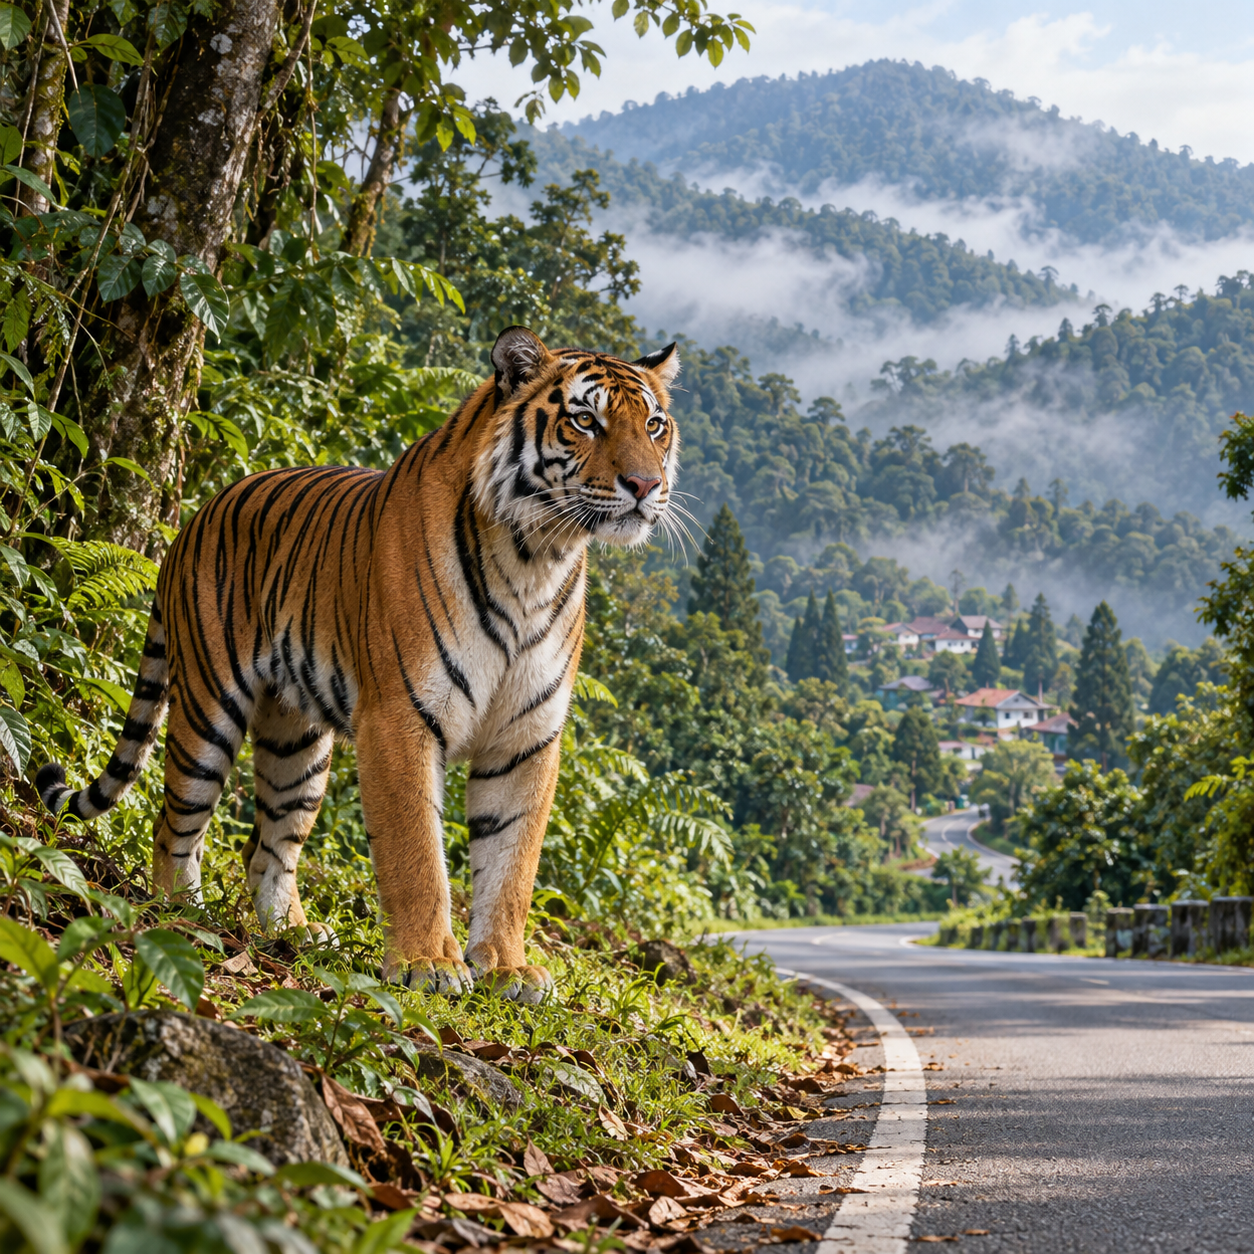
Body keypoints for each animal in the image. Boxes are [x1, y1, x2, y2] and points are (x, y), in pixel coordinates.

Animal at [37, 326, 680, 1001]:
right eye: (585, 420)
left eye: (654, 425)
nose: (645, 485)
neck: (538, 555)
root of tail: (192, 518)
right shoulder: (401, 717)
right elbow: (414, 849)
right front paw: (429, 964)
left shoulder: (526, 738)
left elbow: (512, 863)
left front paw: (506, 968)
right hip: (207, 710)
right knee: (176, 824)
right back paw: (177, 910)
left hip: (297, 745)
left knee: (270, 849)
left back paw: (295, 932)